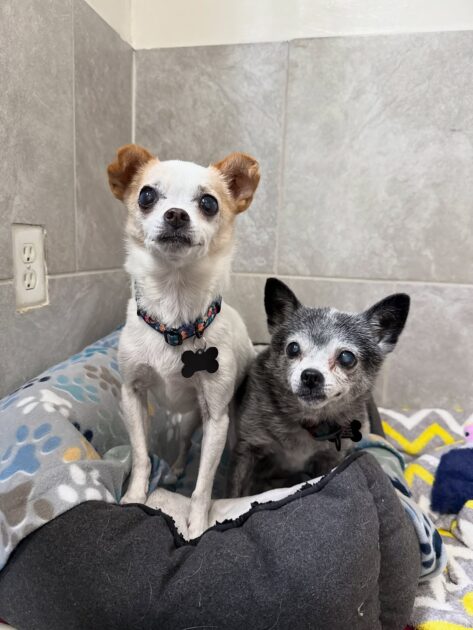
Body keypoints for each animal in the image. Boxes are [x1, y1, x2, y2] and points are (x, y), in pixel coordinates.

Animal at [107, 144, 260, 538]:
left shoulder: (217, 419)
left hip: (210, 420)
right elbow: (141, 456)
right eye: (146, 195)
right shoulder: (132, 394)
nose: (176, 214)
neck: (174, 318)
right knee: (180, 445)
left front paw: (197, 525)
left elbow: (203, 483)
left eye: (208, 203)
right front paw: (135, 497)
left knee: (193, 444)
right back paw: (174, 469)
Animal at [229, 278, 410, 497]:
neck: (308, 420)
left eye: (346, 358)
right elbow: (234, 493)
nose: (311, 376)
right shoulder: (249, 449)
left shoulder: (331, 459)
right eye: (293, 348)